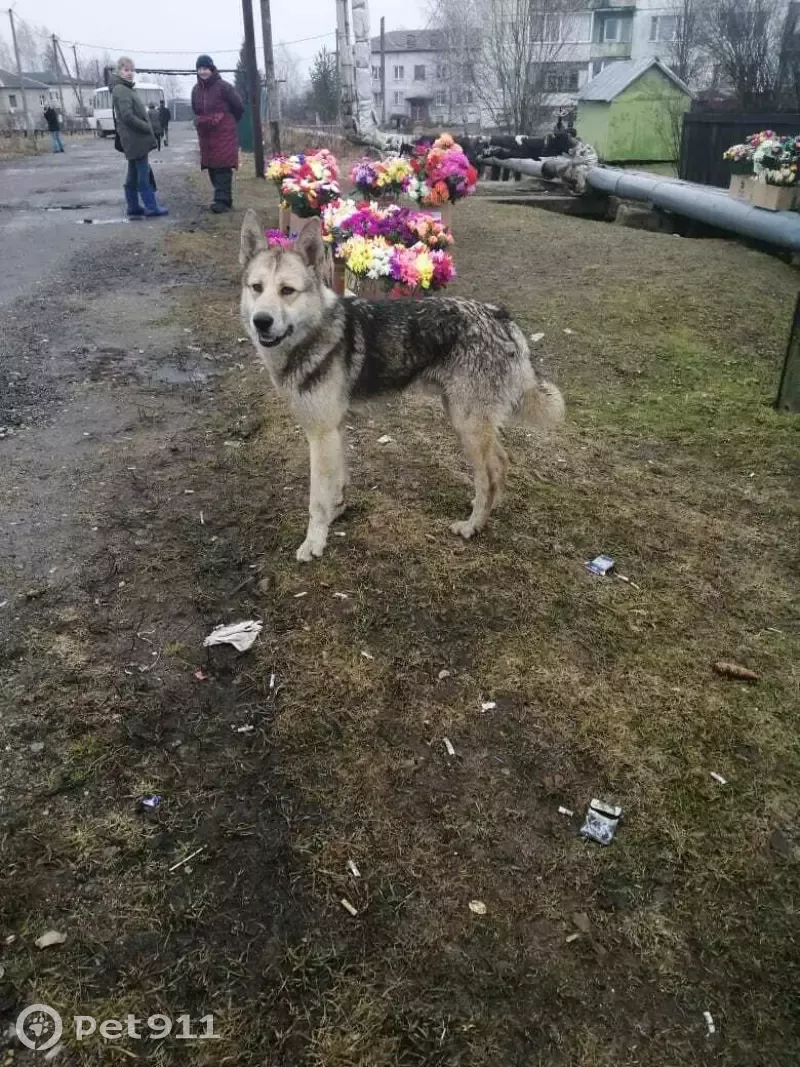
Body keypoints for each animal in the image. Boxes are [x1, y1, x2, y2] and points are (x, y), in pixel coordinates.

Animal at [237, 205, 563, 559]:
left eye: (287, 291)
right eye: (256, 287)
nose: (261, 321)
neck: (313, 332)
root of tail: (498, 315)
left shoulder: (320, 435)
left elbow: (316, 500)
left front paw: (314, 542)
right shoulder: (335, 431)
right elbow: (337, 483)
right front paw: (337, 511)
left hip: (467, 426)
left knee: (488, 475)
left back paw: (472, 526)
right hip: (468, 420)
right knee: (500, 464)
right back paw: (488, 508)